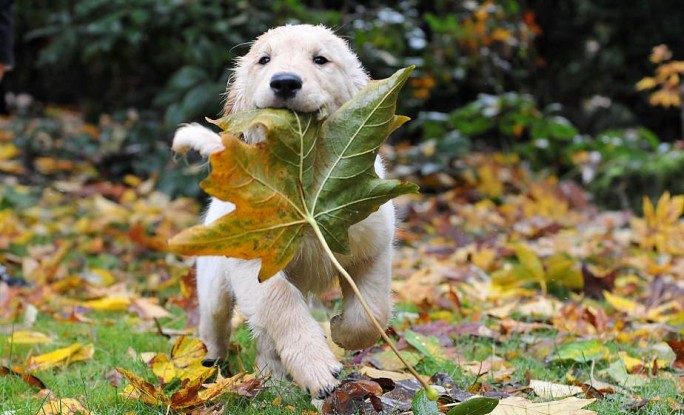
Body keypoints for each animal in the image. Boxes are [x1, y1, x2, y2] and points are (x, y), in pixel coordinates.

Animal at [171, 23, 396, 400]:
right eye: (264, 60)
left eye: (320, 59)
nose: (285, 82)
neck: (304, 179)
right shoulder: (254, 264)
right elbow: (282, 304)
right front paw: (316, 366)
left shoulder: (374, 248)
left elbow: (372, 311)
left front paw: (342, 331)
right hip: (214, 281)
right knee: (217, 325)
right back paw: (215, 368)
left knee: (264, 339)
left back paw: (273, 381)